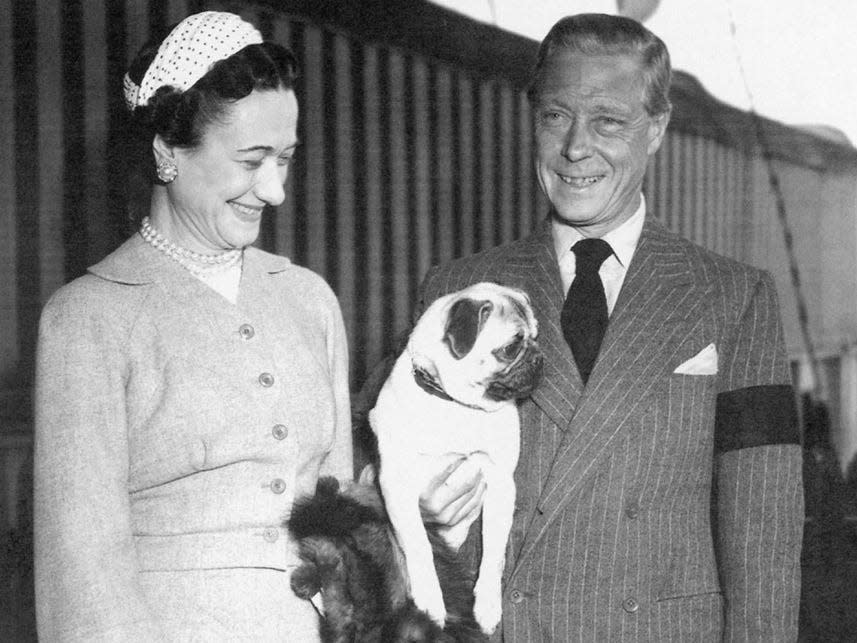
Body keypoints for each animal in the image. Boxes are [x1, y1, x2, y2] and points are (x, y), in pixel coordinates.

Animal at [368, 282, 540, 632]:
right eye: (510, 348)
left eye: (535, 337)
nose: (539, 358)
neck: (456, 406)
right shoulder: (397, 487)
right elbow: (419, 547)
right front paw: (430, 601)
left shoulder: (501, 484)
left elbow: (493, 551)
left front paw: (487, 603)